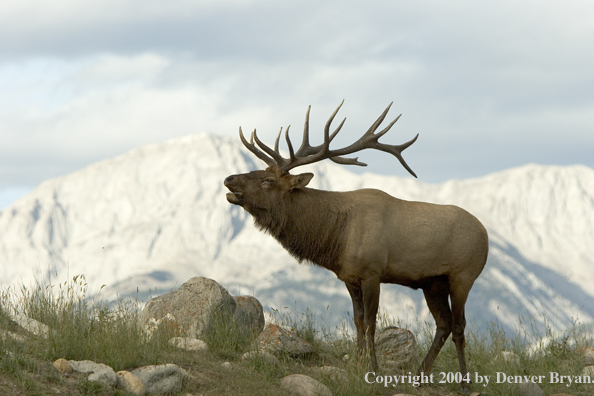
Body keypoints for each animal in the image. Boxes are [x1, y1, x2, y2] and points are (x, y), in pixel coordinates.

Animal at [222, 100, 486, 392]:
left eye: (267, 180)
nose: (229, 179)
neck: (337, 238)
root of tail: (485, 233)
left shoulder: (372, 272)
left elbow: (371, 322)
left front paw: (373, 369)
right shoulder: (349, 276)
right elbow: (358, 321)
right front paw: (358, 366)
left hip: (463, 275)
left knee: (459, 326)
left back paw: (465, 384)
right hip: (433, 282)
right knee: (444, 324)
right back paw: (419, 376)